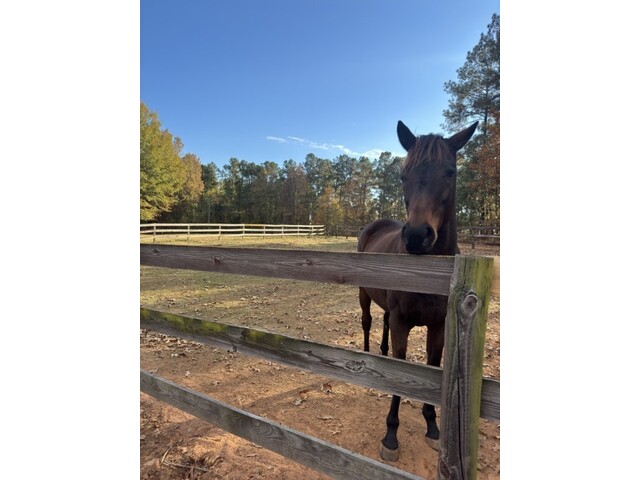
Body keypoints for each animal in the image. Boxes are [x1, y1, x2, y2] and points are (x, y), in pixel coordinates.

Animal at [357, 119, 478, 462]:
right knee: (368, 322)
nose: (415, 236)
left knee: (383, 326)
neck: (428, 273)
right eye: (403, 174)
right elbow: (400, 369)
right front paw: (390, 436)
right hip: (363, 294)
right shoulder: (403, 323)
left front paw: (433, 426)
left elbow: (432, 365)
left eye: (450, 171)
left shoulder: (439, 325)